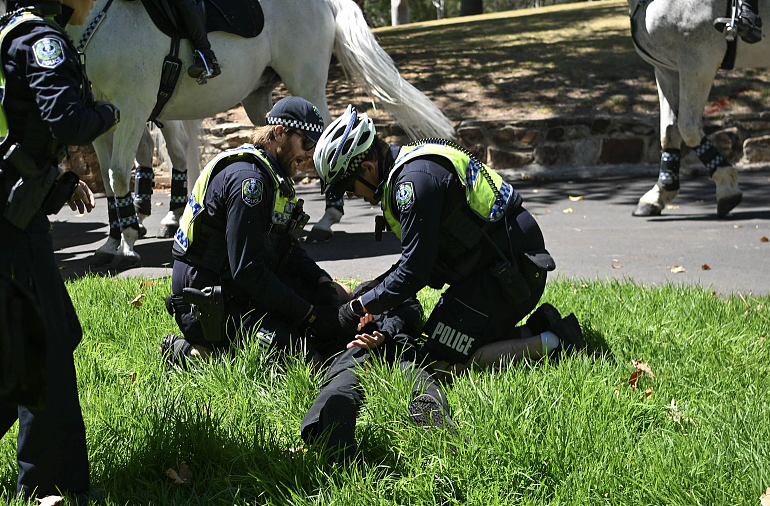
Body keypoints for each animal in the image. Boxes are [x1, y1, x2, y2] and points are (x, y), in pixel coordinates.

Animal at [67, 0, 456, 268]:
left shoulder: (133, 107)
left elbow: (119, 174)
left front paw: (128, 244)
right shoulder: (104, 114)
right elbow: (109, 178)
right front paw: (112, 242)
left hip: (305, 82)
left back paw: (328, 219)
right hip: (260, 99)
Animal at [628, 0, 764, 216]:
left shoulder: (697, 62)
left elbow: (688, 127)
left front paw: (726, 186)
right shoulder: (667, 70)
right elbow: (669, 131)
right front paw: (659, 193)